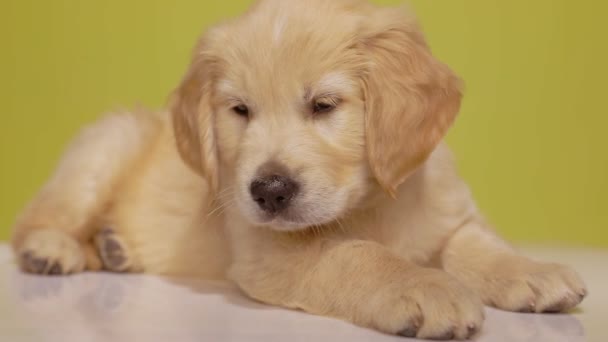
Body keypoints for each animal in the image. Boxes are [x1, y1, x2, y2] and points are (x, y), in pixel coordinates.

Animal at [11, 0, 588, 340]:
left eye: (323, 105)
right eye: (240, 110)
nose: (268, 191)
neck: (368, 206)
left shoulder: (447, 212)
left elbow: (478, 244)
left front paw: (534, 272)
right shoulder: (269, 252)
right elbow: (357, 256)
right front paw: (424, 286)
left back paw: (114, 247)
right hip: (107, 144)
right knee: (38, 216)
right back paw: (54, 249)